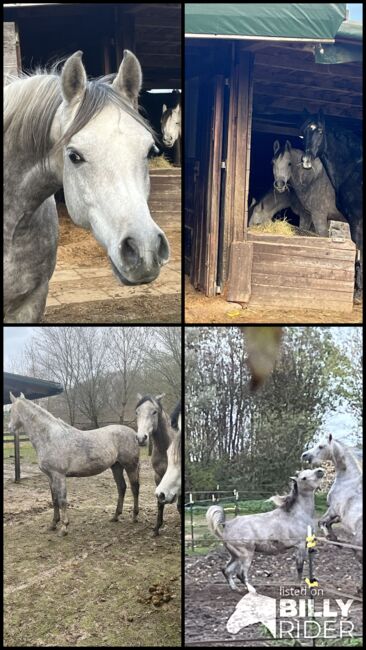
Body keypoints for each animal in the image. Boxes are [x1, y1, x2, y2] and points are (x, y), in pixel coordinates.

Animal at [8, 390, 140, 536]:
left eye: (9, 410)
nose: (9, 428)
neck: (49, 437)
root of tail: (134, 433)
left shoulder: (59, 475)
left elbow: (62, 500)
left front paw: (64, 527)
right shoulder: (50, 476)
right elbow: (54, 499)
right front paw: (53, 524)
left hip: (130, 466)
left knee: (135, 488)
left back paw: (134, 517)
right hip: (116, 466)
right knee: (121, 487)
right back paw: (115, 516)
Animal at [135, 392, 181, 536]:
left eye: (154, 412)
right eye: (137, 412)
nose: (141, 438)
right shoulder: (158, 476)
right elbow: (160, 502)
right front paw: (156, 528)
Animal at [302, 432, 362, 560]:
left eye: (320, 446)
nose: (304, 455)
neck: (348, 480)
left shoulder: (333, 510)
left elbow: (321, 522)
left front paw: (332, 538)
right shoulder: (338, 515)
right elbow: (328, 523)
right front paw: (335, 540)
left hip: (357, 549)